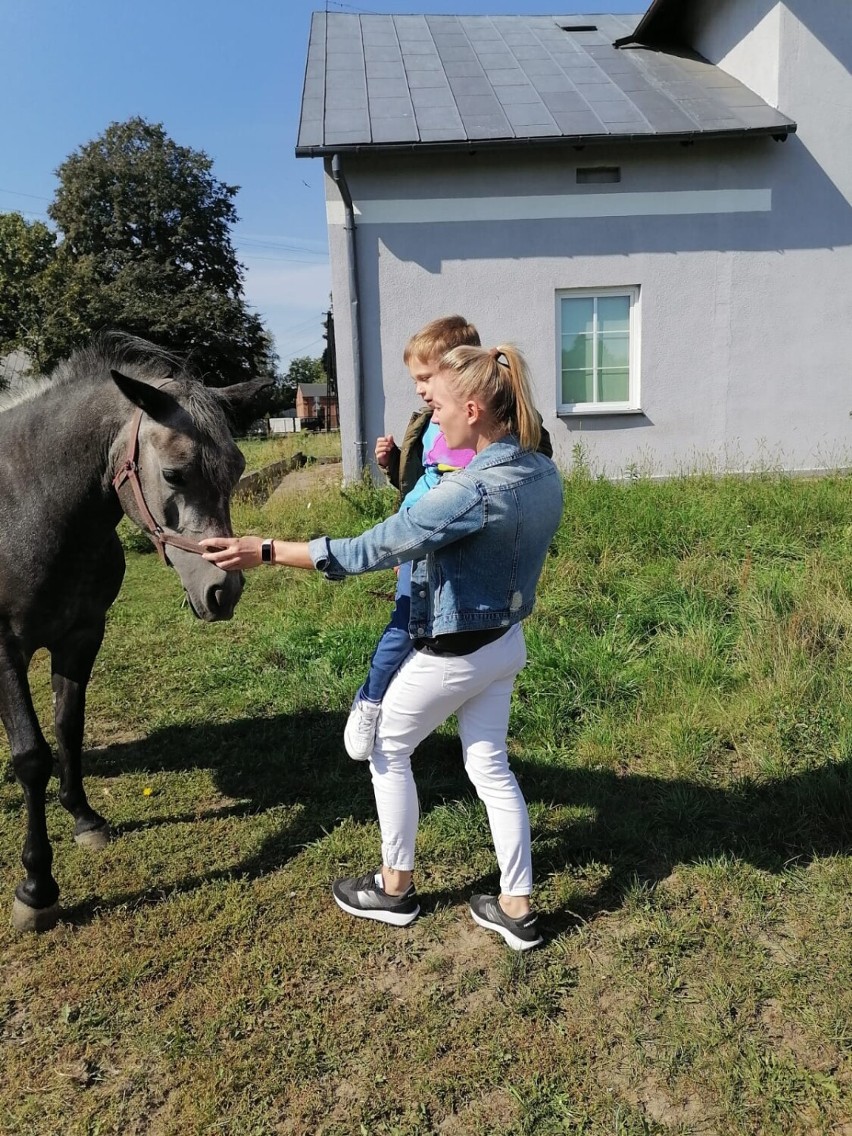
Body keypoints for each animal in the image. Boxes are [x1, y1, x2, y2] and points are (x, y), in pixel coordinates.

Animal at [0, 333, 270, 931]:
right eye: (173, 474)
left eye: (237, 469)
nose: (223, 591)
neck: (24, 506)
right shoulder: (2, 651)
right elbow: (31, 756)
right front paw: (36, 887)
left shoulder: (81, 636)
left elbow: (68, 728)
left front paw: (84, 818)